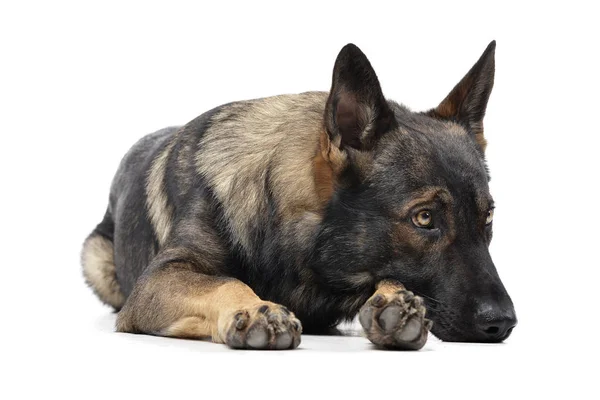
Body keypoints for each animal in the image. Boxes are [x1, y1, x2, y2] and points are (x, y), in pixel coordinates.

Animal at [82, 41, 516, 350]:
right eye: (424, 218)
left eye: (488, 218)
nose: (504, 322)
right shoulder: (158, 281)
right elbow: (224, 283)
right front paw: (255, 308)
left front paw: (395, 302)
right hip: (96, 260)